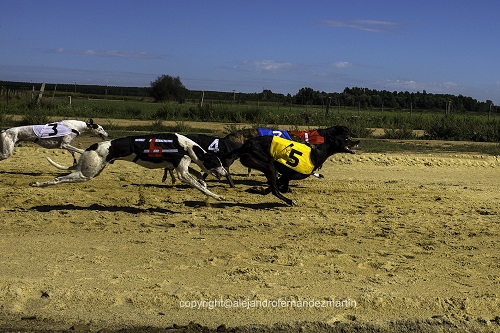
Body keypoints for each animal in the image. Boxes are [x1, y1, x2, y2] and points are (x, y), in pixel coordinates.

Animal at [34, 132, 229, 200]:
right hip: (86, 174)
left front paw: (205, 183)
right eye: (217, 163)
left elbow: (198, 176)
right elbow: (200, 186)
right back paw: (40, 184)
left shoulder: (180, 167)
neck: (186, 146)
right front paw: (217, 196)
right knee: (58, 179)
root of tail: (92, 147)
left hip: (92, 171)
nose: (226, 173)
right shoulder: (182, 172)